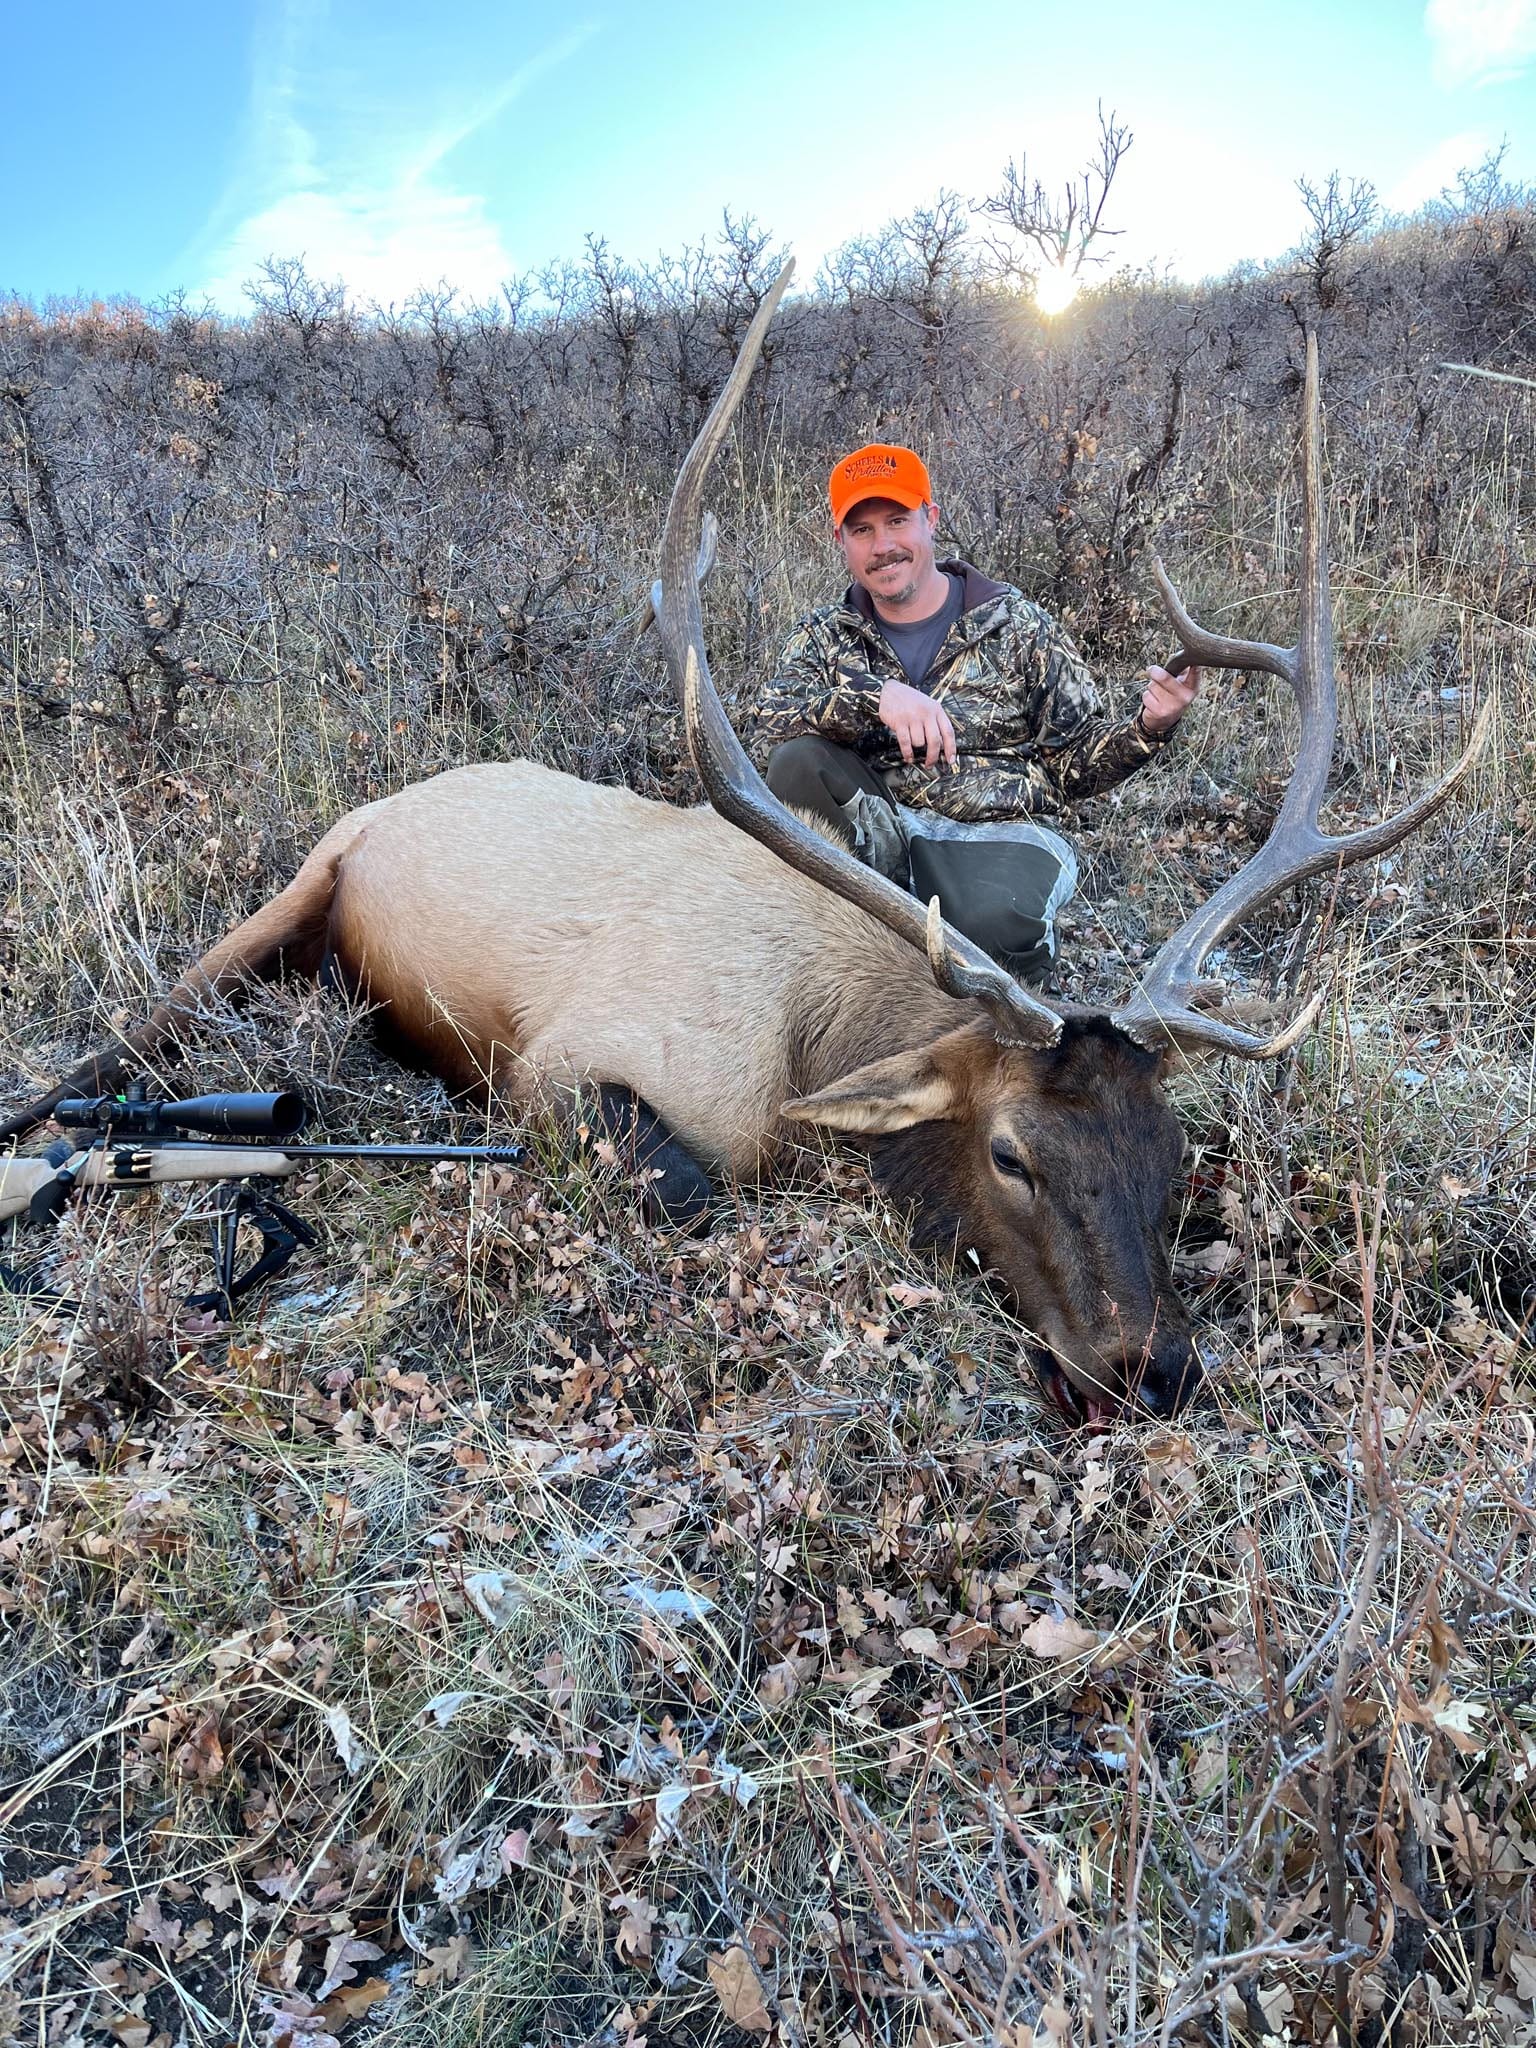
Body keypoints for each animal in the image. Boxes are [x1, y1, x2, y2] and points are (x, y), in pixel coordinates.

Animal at [0, 261, 1491, 1423]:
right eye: (1013, 1154)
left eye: (1171, 1151)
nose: (1150, 1369)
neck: (809, 1044)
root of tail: (394, 800)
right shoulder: (572, 1066)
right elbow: (684, 1187)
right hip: (290, 890)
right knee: (122, 1044)